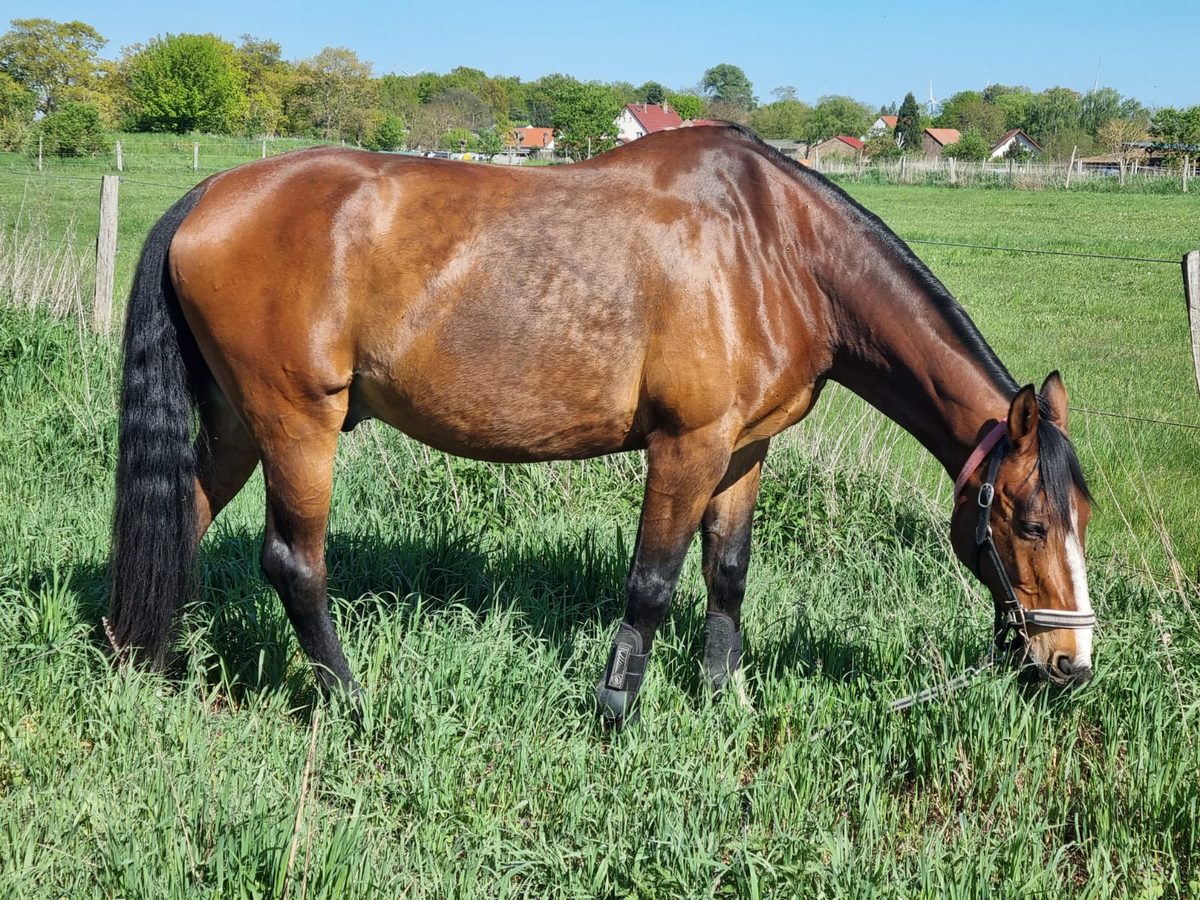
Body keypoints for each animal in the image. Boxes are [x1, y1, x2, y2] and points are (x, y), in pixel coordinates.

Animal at [107, 124, 1096, 726]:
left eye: (1081, 518)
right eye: (1028, 522)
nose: (1071, 663)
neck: (774, 247)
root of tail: (208, 196)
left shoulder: (745, 449)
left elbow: (727, 575)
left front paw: (721, 699)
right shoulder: (687, 444)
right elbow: (651, 583)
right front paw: (614, 710)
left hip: (239, 424)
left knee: (183, 522)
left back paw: (144, 664)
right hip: (295, 424)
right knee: (294, 564)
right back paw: (352, 702)